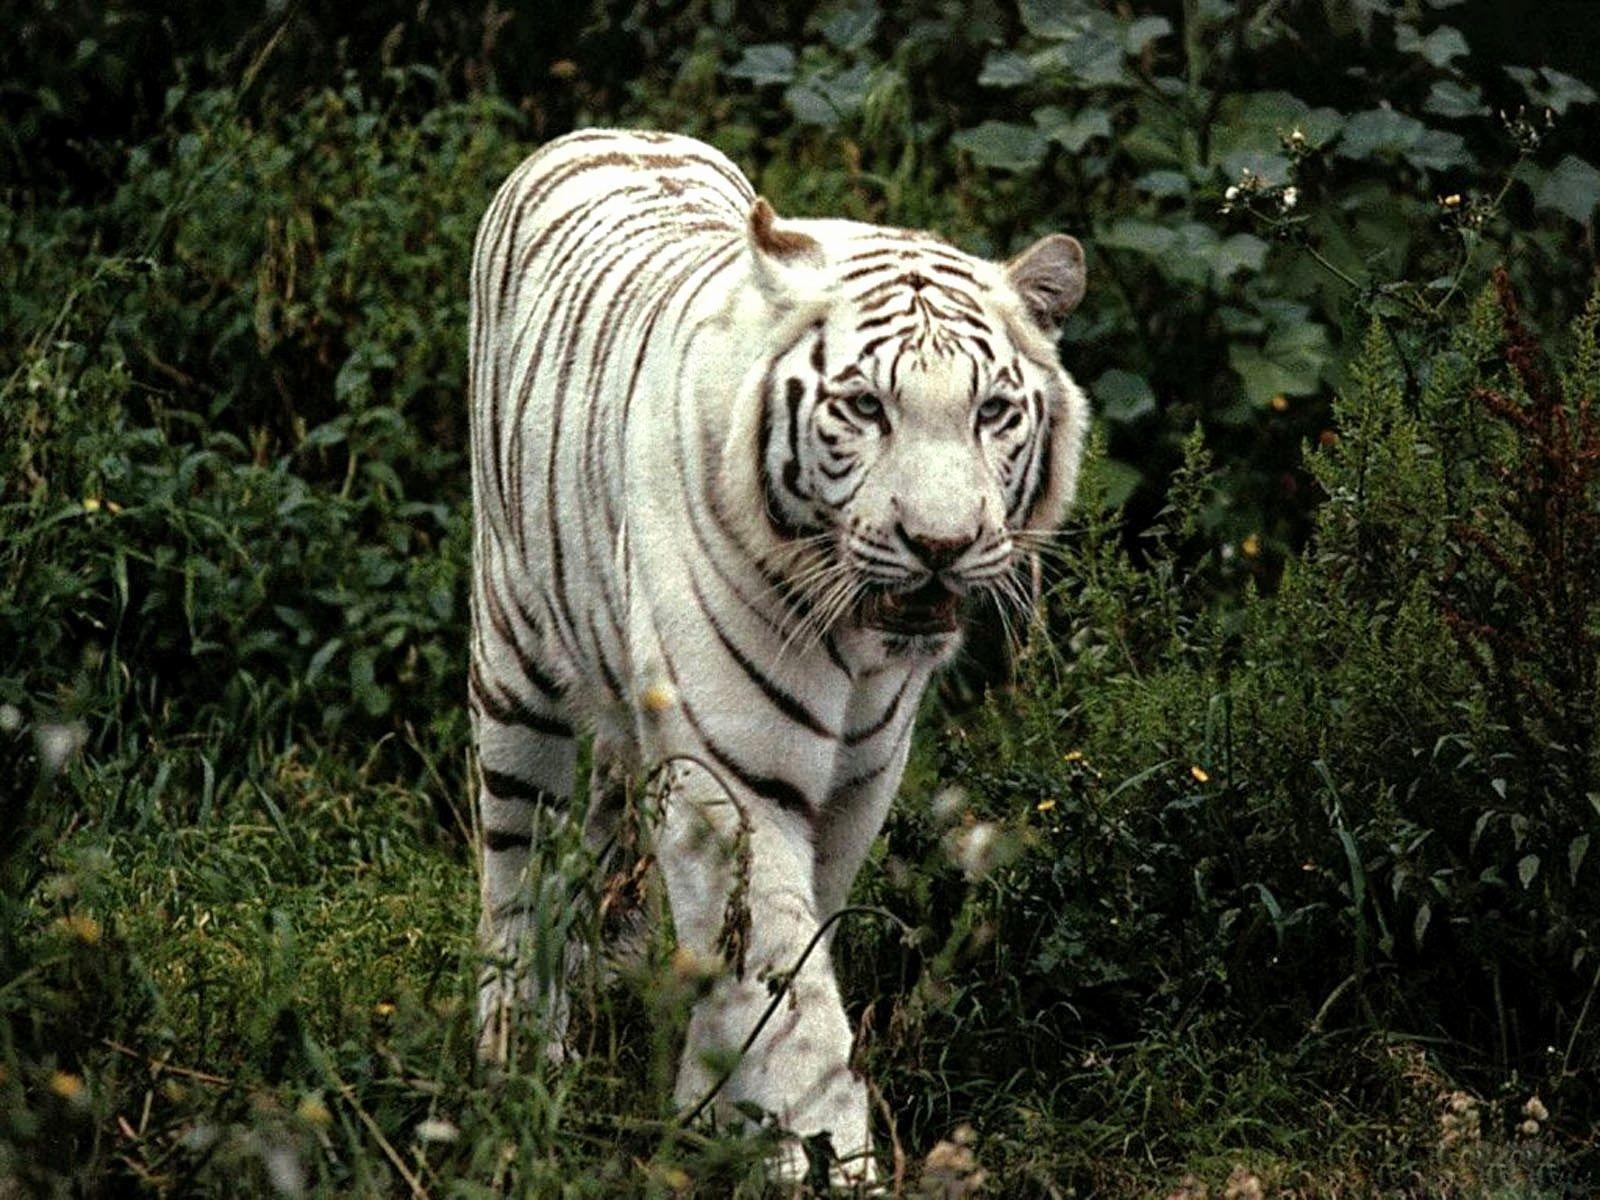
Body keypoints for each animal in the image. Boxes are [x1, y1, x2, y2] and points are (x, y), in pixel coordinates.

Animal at [467, 127, 1088, 1184]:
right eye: (866, 408)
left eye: (994, 412)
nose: (942, 544)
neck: (859, 643)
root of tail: (607, 130)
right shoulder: (737, 772)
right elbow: (786, 984)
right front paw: (824, 1156)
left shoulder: (861, 779)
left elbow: (776, 953)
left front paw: (717, 1108)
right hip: (514, 673)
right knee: (518, 874)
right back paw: (513, 1065)